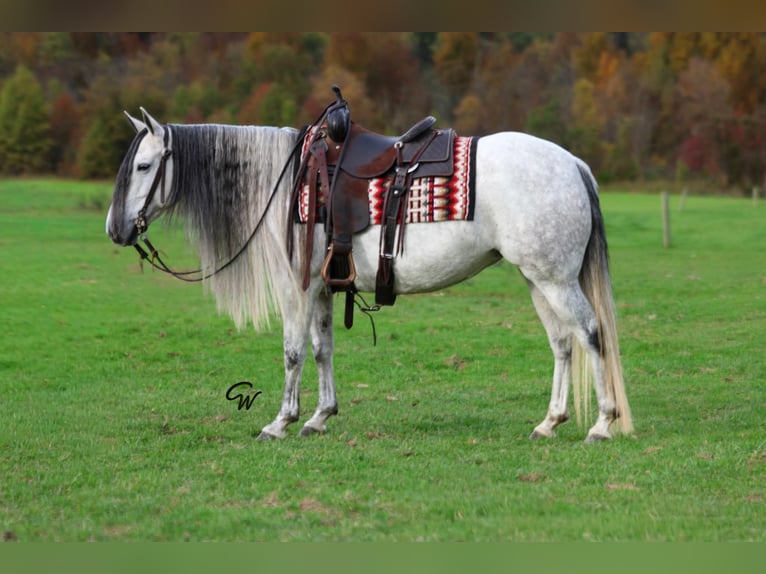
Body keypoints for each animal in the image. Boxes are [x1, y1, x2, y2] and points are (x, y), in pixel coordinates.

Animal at [105, 107, 633, 443]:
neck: (287, 182)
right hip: (538, 278)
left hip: (555, 280)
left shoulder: (296, 289)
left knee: (590, 333)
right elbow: (322, 349)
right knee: (562, 343)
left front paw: (280, 422)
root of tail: (572, 163)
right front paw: (319, 417)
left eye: (144, 165)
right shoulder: (320, 287)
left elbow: (293, 352)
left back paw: (602, 424)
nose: (114, 229)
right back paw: (550, 421)